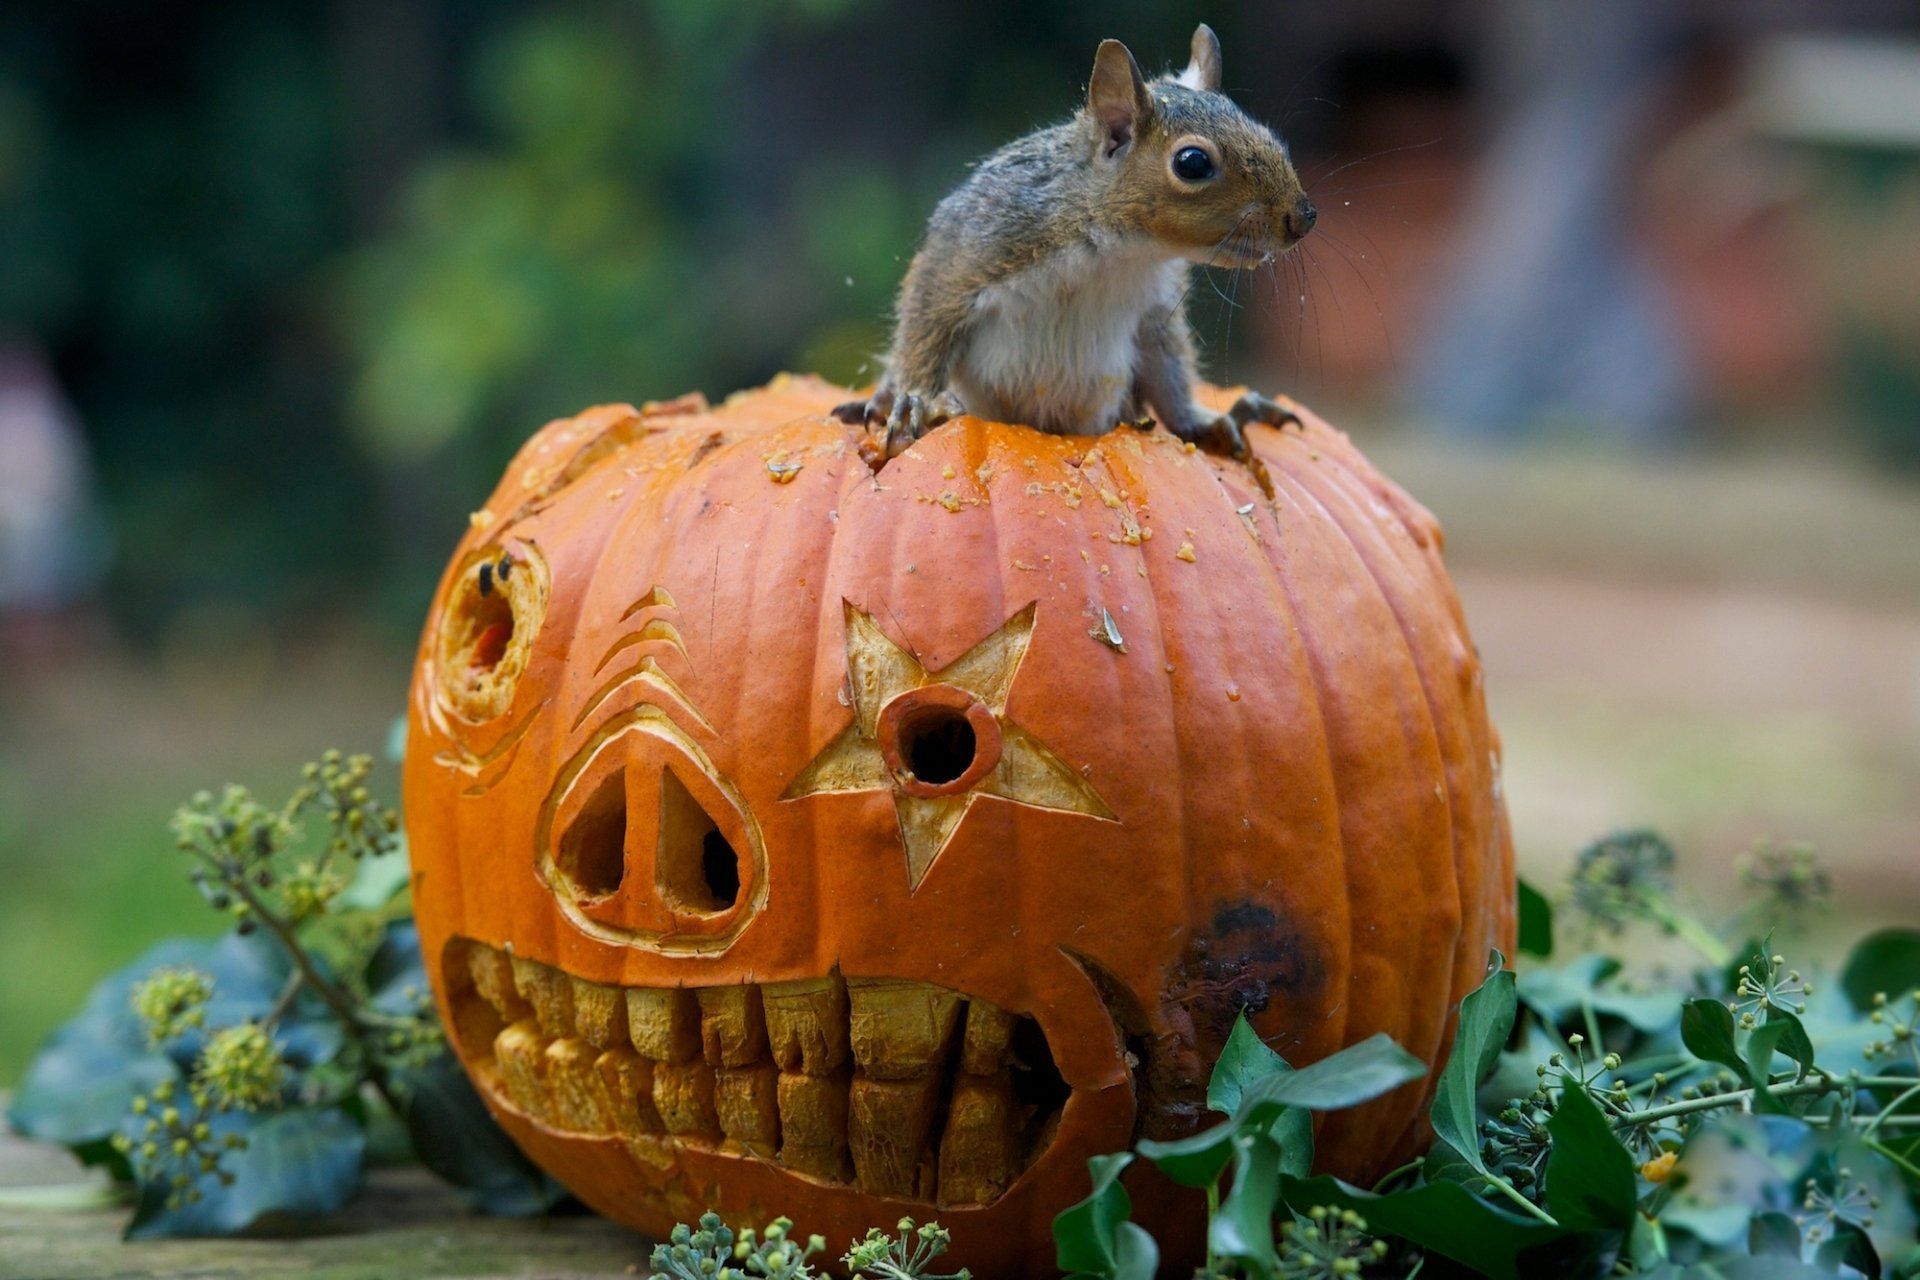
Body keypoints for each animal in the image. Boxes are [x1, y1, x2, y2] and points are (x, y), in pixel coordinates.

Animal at [836, 25, 1316, 462]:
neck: (1117, 253)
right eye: (1192, 163)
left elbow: (1169, 374)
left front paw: (1207, 422)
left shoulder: (1156, 308)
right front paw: (915, 400)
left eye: (1269, 135)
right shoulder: (970, 250)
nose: (1303, 218)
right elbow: (926, 322)